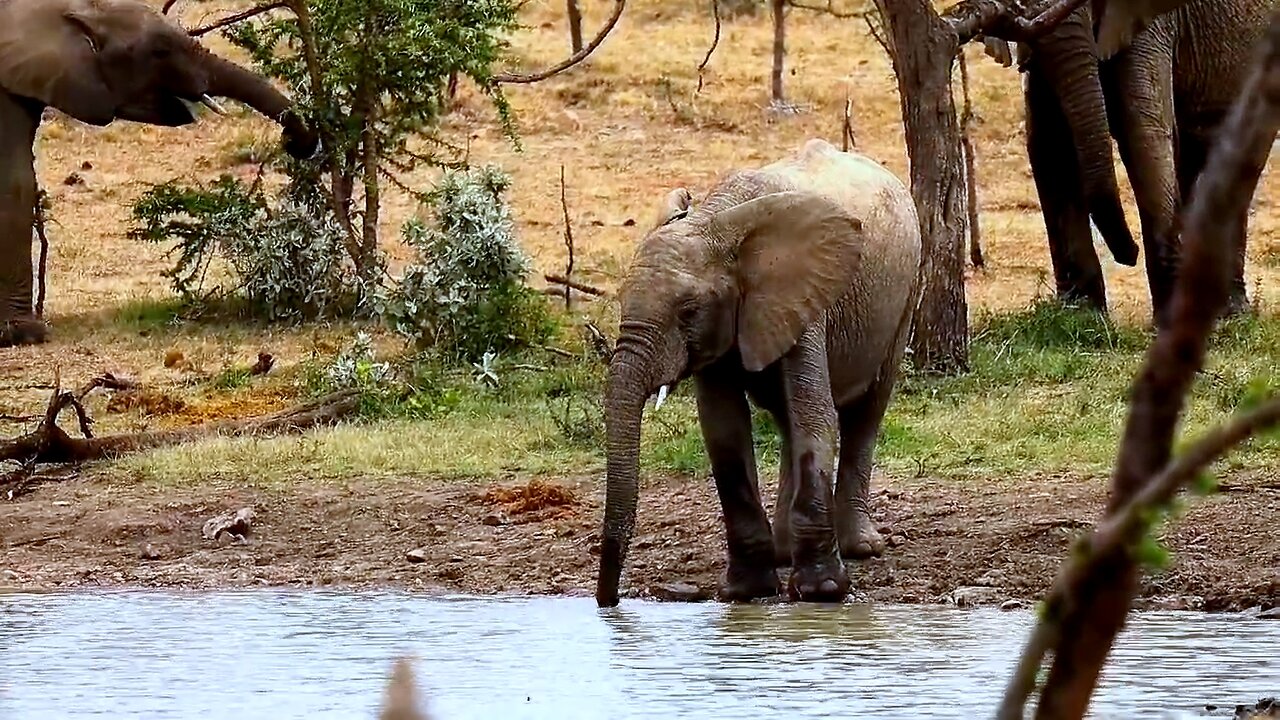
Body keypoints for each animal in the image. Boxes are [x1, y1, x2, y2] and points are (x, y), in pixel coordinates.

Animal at [593, 135, 926, 604]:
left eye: (688, 310)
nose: (610, 602)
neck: (717, 221)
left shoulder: (805, 300)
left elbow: (815, 415)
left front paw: (822, 591)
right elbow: (724, 433)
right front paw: (745, 592)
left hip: (905, 292)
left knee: (867, 411)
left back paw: (859, 548)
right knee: (789, 421)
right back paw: (786, 552)